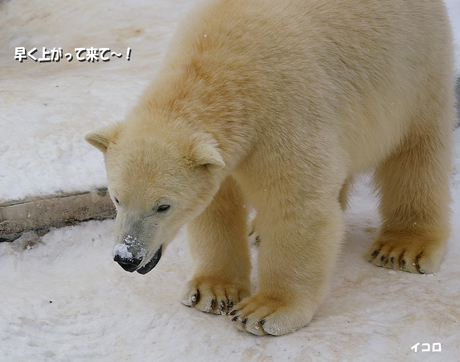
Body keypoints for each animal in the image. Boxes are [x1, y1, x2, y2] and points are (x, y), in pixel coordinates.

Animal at [85, 0, 452, 336]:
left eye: (163, 206)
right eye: (116, 199)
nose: (126, 258)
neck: (220, 67)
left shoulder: (284, 111)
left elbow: (297, 204)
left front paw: (264, 310)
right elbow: (217, 206)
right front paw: (213, 291)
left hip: (415, 67)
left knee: (416, 153)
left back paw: (403, 247)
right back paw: (259, 229)